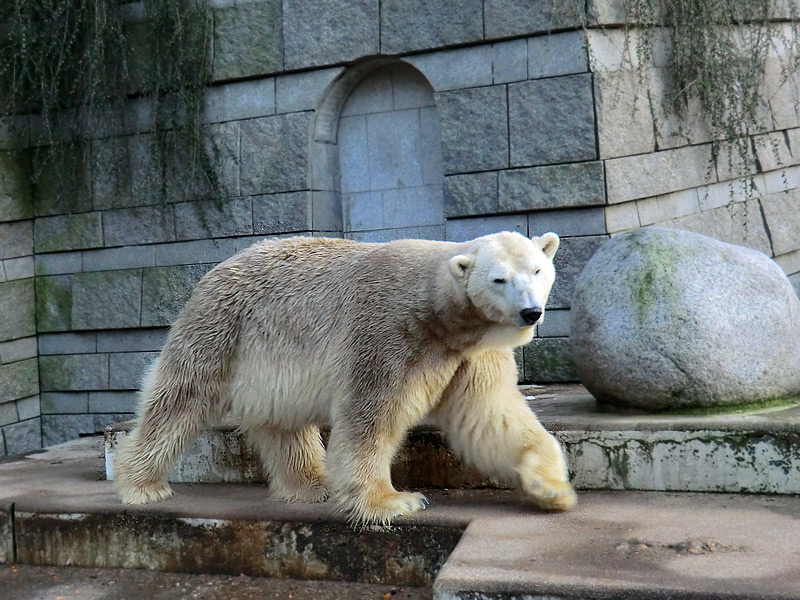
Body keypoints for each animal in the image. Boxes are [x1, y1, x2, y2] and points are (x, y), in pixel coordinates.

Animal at [112, 232, 576, 524]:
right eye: (499, 279)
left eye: (537, 270)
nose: (530, 312)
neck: (437, 313)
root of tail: (214, 270)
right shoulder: (388, 333)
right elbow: (371, 413)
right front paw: (394, 501)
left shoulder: (470, 353)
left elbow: (492, 416)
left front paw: (554, 488)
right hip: (223, 329)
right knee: (180, 397)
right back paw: (141, 485)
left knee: (282, 421)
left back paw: (311, 485)